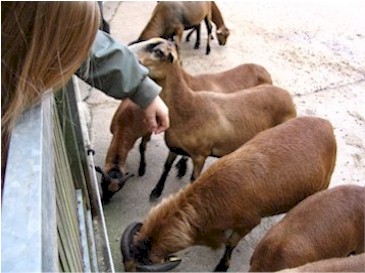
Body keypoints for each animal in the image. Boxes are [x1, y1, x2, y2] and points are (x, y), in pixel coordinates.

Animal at [132, 37, 294, 199]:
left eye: (158, 52)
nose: (131, 53)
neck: (187, 108)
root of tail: (289, 98)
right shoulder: (175, 146)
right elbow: (166, 166)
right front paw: (157, 190)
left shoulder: (200, 155)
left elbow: (194, 179)